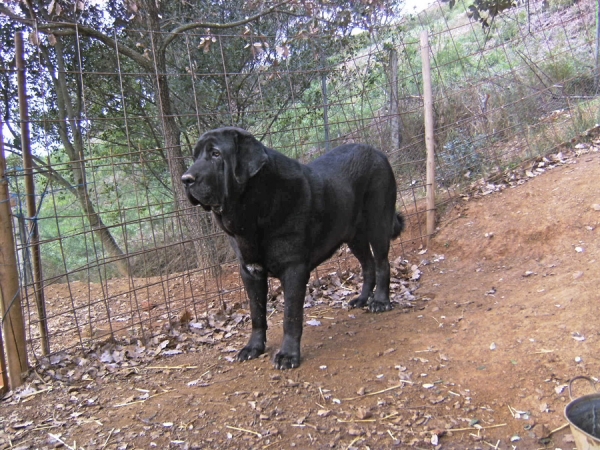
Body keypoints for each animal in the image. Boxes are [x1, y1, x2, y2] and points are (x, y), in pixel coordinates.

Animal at [180, 126, 406, 370]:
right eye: (195, 156)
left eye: (216, 154)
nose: (185, 179)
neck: (254, 210)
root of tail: (377, 152)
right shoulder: (249, 271)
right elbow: (256, 313)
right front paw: (253, 348)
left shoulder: (294, 269)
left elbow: (291, 316)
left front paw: (288, 355)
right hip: (353, 236)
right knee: (368, 266)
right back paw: (362, 299)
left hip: (378, 223)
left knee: (382, 264)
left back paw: (380, 302)